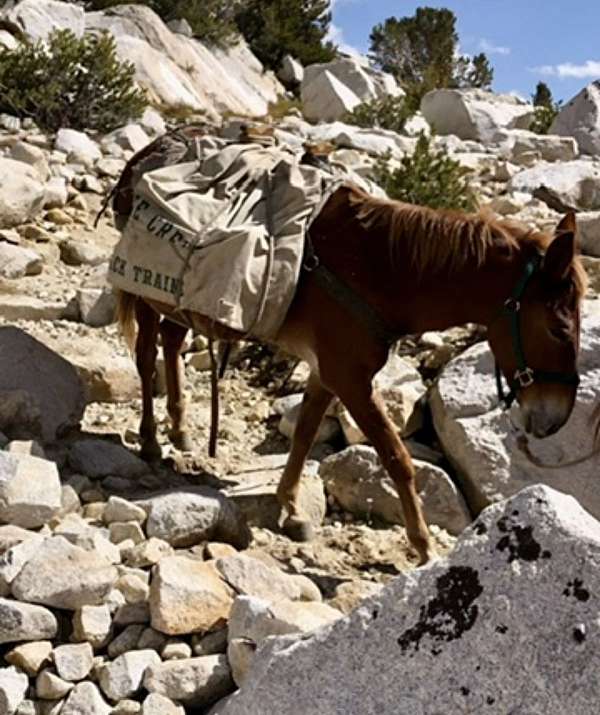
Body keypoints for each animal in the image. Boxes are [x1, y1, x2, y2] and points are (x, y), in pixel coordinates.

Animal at [113, 174, 586, 565]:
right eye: (560, 329)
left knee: (172, 343)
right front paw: (423, 546)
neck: (383, 273)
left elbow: (305, 435)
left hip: (177, 306)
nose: (557, 420)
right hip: (148, 294)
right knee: (146, 356)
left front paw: (290, 508)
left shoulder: (328, 373)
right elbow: (397, 457)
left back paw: (180, 429)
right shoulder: (351, 380)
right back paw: (151, 441)